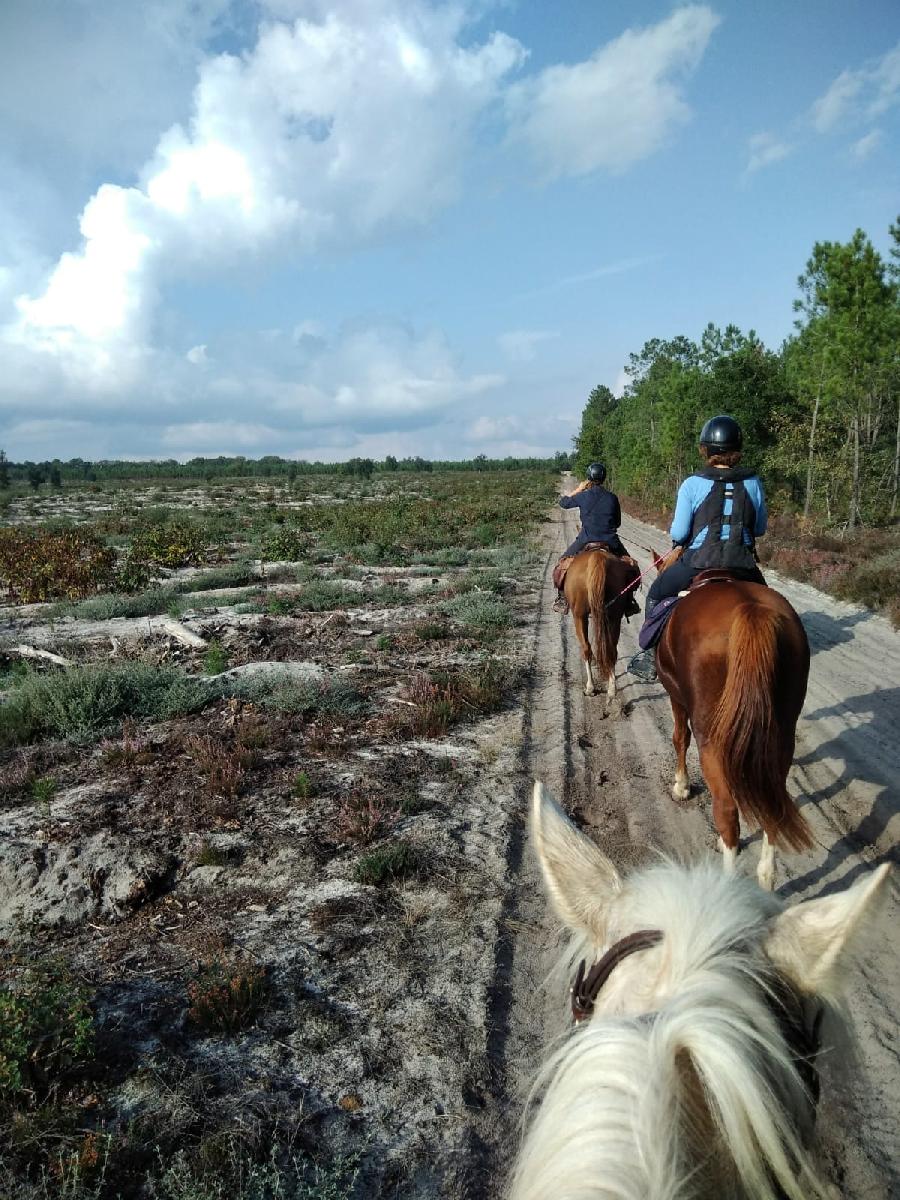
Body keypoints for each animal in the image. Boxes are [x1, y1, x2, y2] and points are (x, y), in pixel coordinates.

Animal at [564, 549, 643, 705]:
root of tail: (597, 557)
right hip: (614, 616)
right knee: (612, 651)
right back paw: (611, 691)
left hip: (579, 615)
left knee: (586, 649)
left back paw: (590, 688)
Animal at [652, 556, 816, 888]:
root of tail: (752, 612)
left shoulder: (676, 696)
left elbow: (679, 737)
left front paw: (681, 786)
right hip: (780, 737)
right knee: (773, 806)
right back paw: (766, 877)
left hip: (711, 737)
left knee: (727, 811)